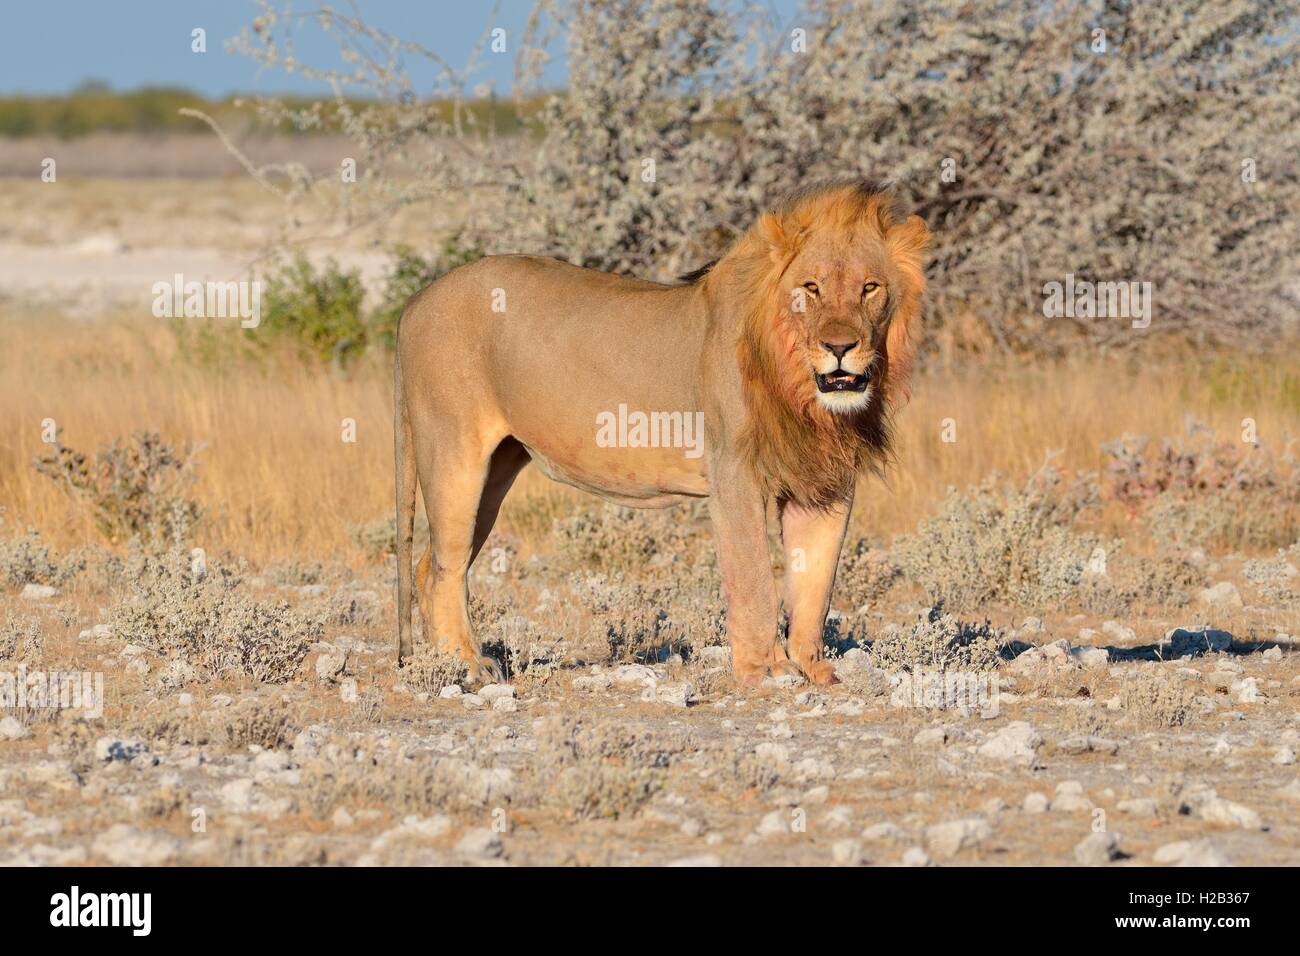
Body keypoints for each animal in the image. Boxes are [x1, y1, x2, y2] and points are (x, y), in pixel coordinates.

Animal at [390, 179, 930, 686]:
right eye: (811, 288)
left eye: (870, 288)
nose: (839, 347)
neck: (803, 393)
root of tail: (415, 301)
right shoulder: (734, 475)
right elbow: (755, 579)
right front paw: (768, 671)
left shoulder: (827, 484)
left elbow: (816, 583)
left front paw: (815, 671)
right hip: (454, 456)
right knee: (445, 568)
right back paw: (468, 665)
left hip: (496, 470)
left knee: (429, 565)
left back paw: (447, 662)